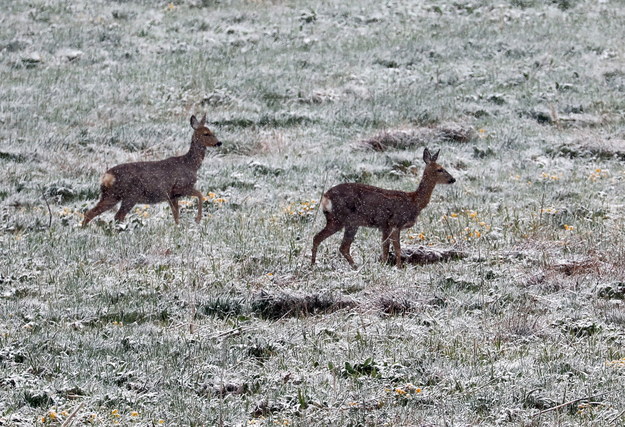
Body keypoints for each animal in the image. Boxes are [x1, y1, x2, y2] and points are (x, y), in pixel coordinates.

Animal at [81, 113, 221, 227]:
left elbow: (176, 215)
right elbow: (200, 194)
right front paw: (198, 220)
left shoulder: (172, 195)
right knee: (118, 216)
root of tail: (107, 176)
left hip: (111, 195)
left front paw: (178, 227)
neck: (190, 165)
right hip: (131, 194)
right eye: (206, 133)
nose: (219, 143)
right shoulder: (179, 187)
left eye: (212, 131)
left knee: (90, 212)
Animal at [310, 147, 454, 268]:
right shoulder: (394, 222)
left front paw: (385, 265)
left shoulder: (385, 226)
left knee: (325, 240)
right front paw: (398, 267)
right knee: (337, 244)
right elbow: (397, 248)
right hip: (344, 219)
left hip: (340, 220)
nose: (453, 179)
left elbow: (385, 248)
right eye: (440, 169)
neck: (414, 201)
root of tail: (326, 196)